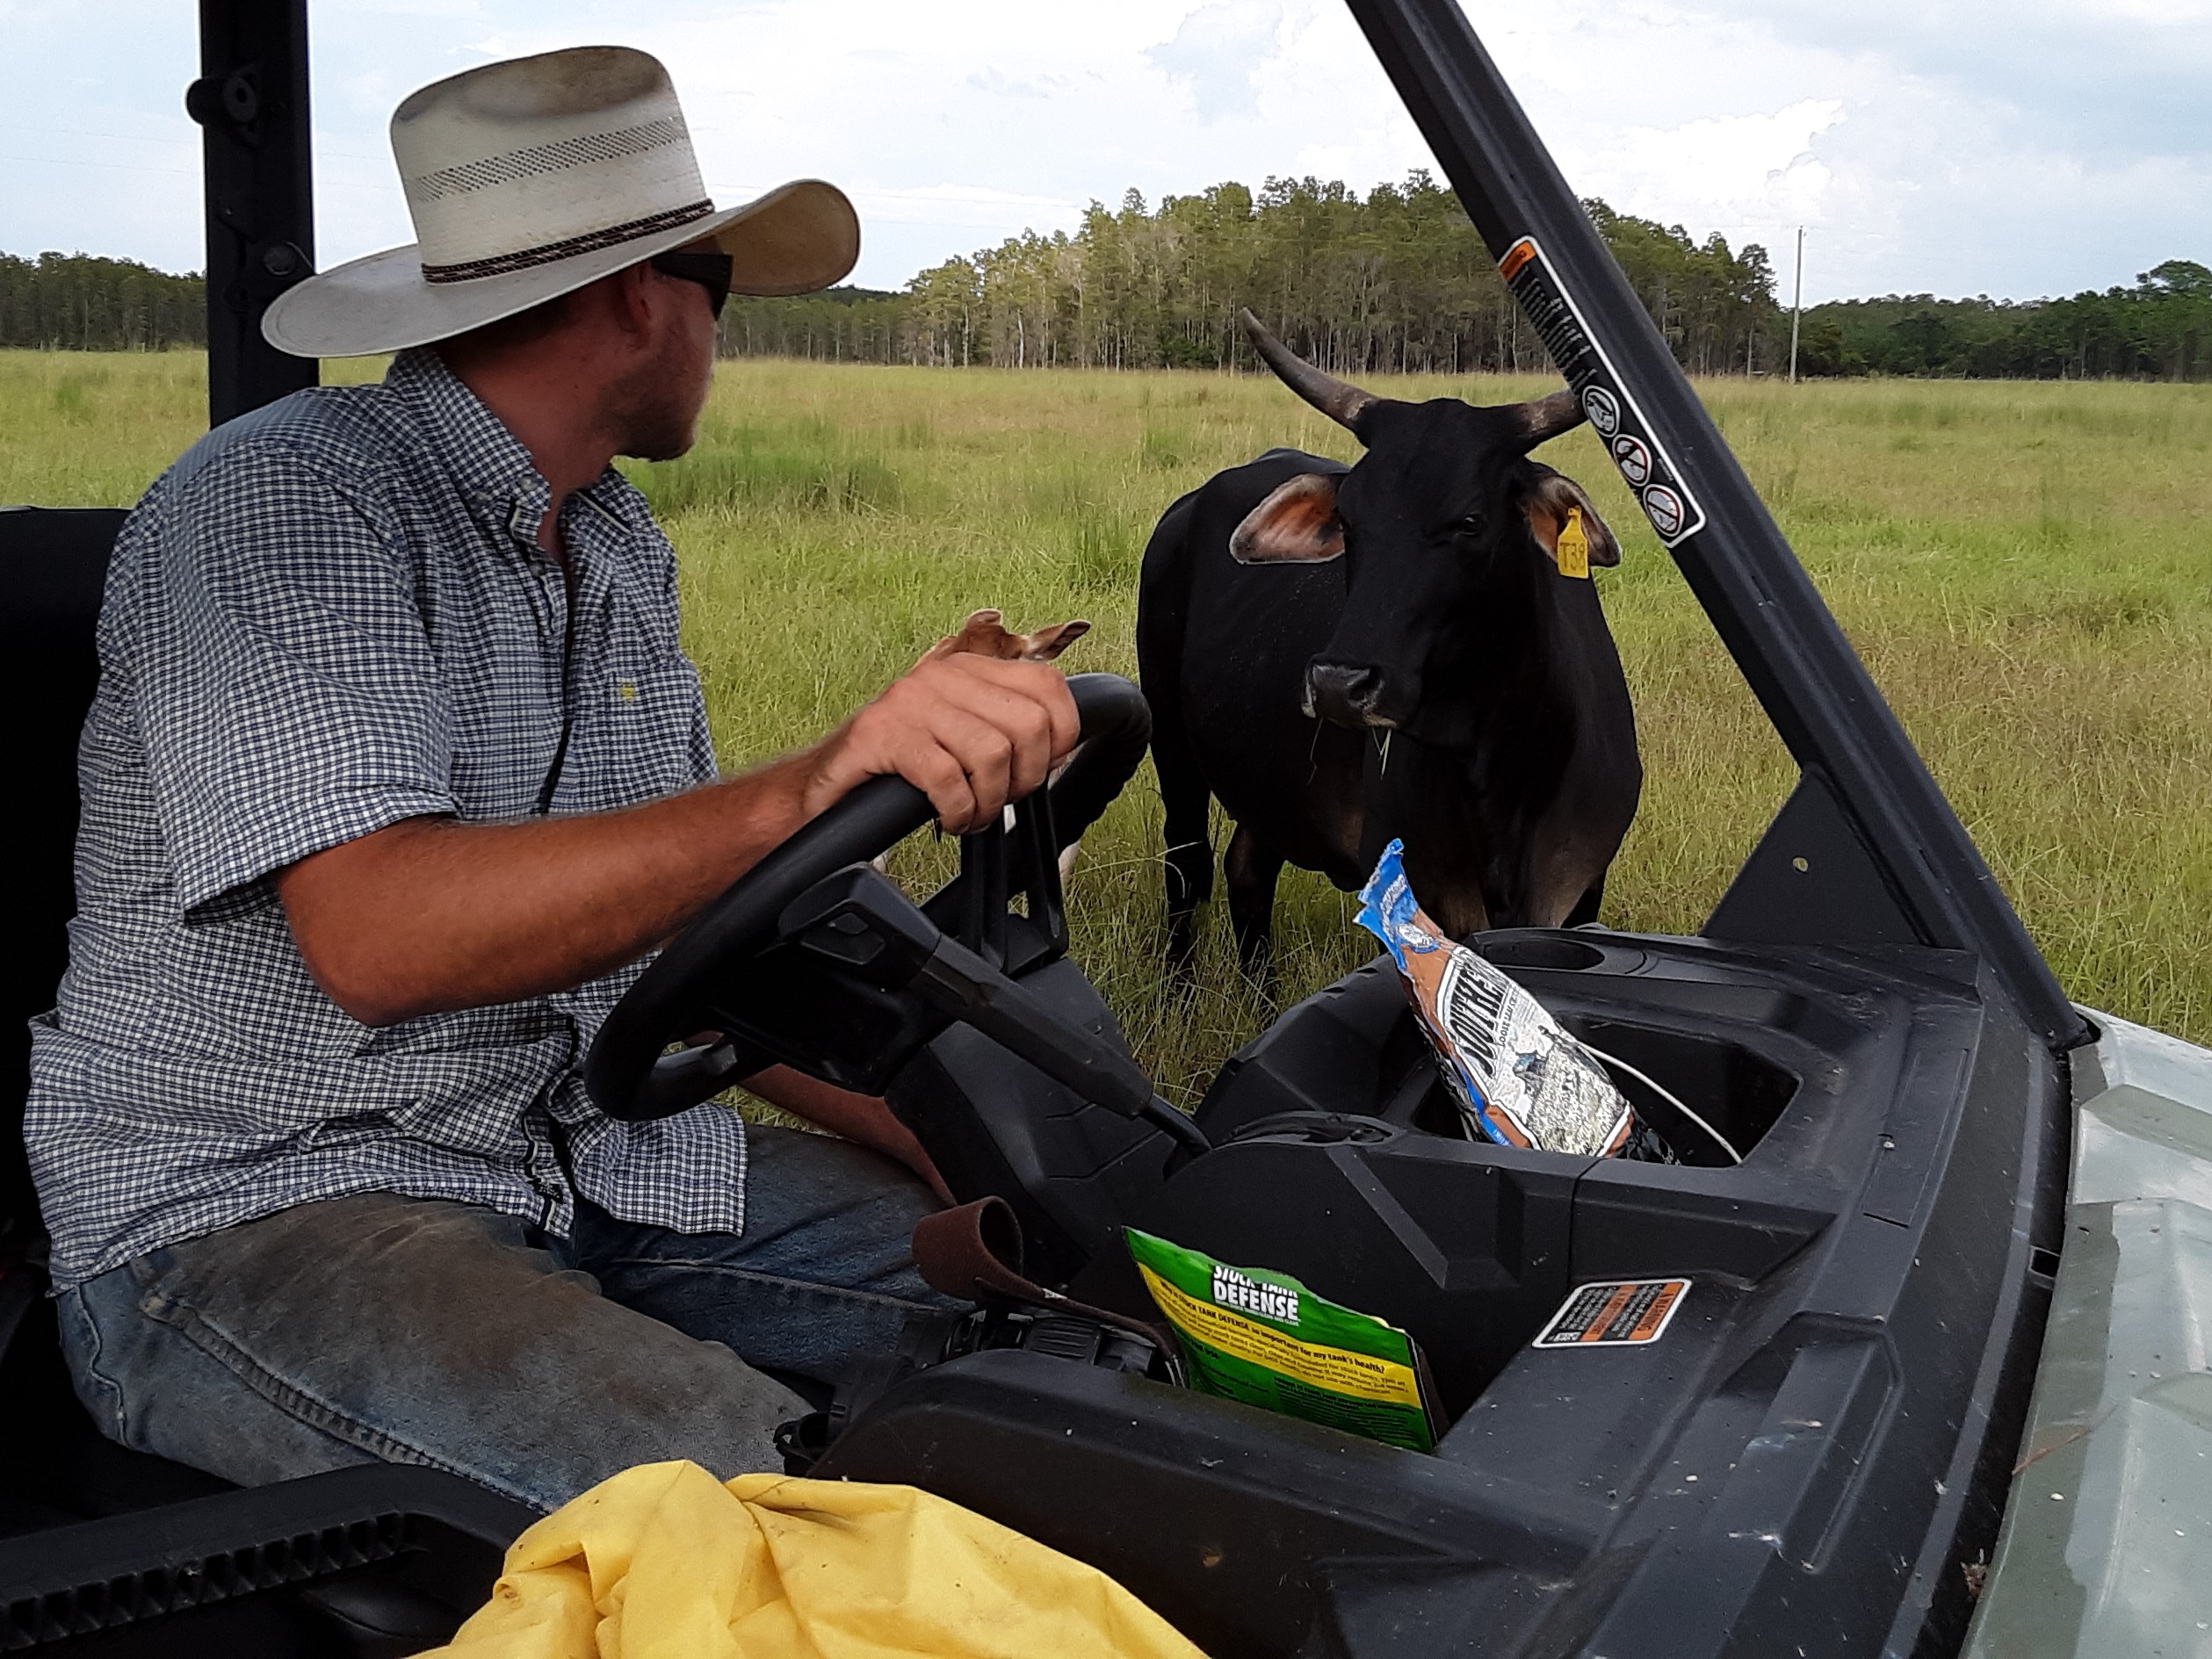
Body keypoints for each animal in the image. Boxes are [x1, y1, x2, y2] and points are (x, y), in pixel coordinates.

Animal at [1141, 309, 1645, 973]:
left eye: (1470, 521)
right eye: (1348, 519)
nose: (1338, 684)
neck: (1506, 765)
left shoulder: (1584, 886)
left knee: (1247, 870)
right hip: (1171, 740)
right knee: (1188, 862)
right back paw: (1179, 985)